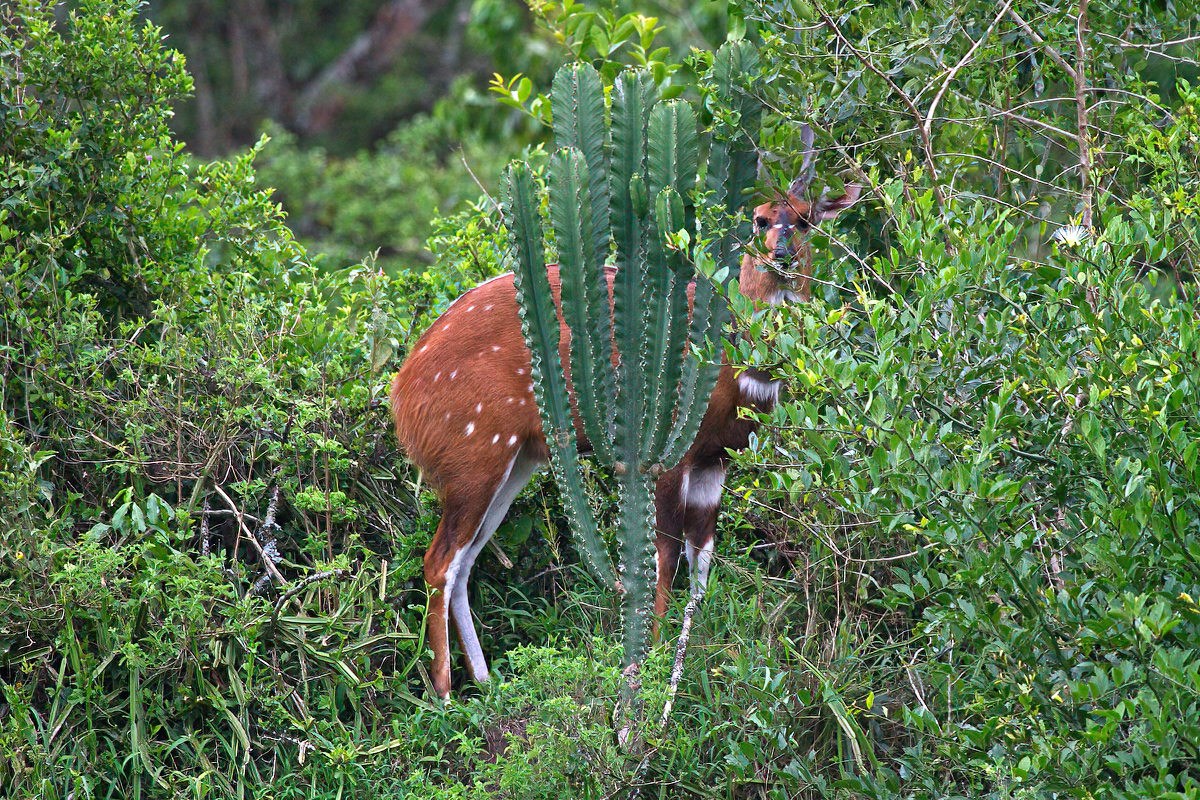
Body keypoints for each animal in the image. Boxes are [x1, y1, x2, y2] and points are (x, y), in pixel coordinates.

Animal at [393, 160, 864, 695]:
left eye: (805, 220)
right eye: (760, 219)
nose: (782, 255)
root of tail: (402, 388)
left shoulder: (714, 459)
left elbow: (702, 556)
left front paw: (692, 656)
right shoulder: (668, 455)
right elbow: (663, 554)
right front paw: (653, 661)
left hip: (517, 461)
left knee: (466, 561)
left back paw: (488, 685)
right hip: (476, 455)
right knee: (440, 562)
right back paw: (446, 695)